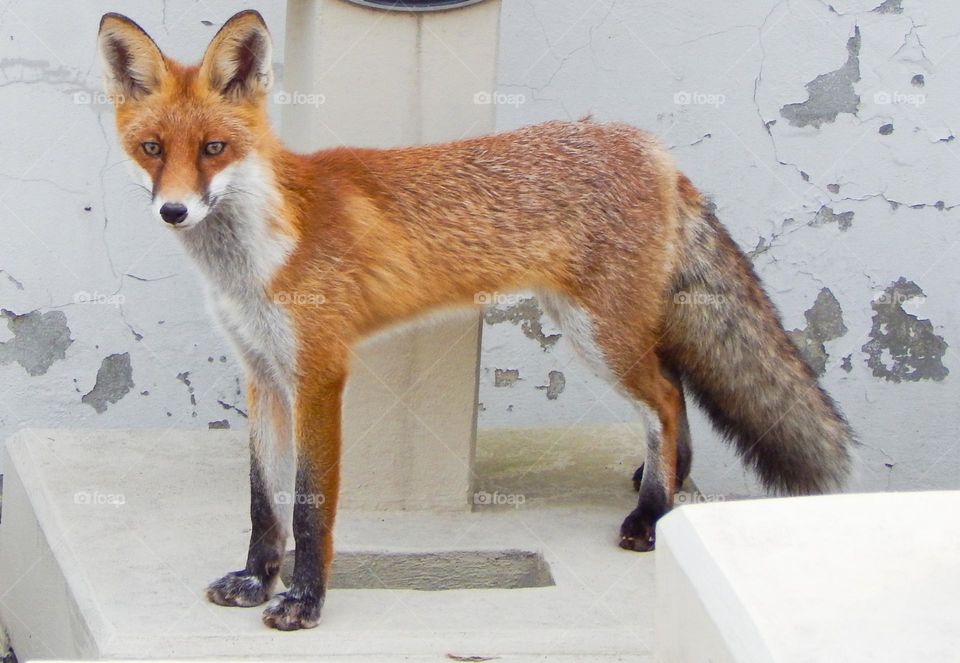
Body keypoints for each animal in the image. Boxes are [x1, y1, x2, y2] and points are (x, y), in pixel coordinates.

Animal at [97, 10, 853, 630]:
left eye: (214, 149)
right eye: (153, 149)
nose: (174, 211)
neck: (258, 255)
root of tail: (652, 147)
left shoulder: (319, 373)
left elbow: (309, 509)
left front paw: (304, 602)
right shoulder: (261, 373)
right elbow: (263, 502)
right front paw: (257, 578)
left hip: (597, 337)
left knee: (667, 398)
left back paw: (651, 514)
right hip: (600, 331)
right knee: (672, 393)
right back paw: (663, 490)